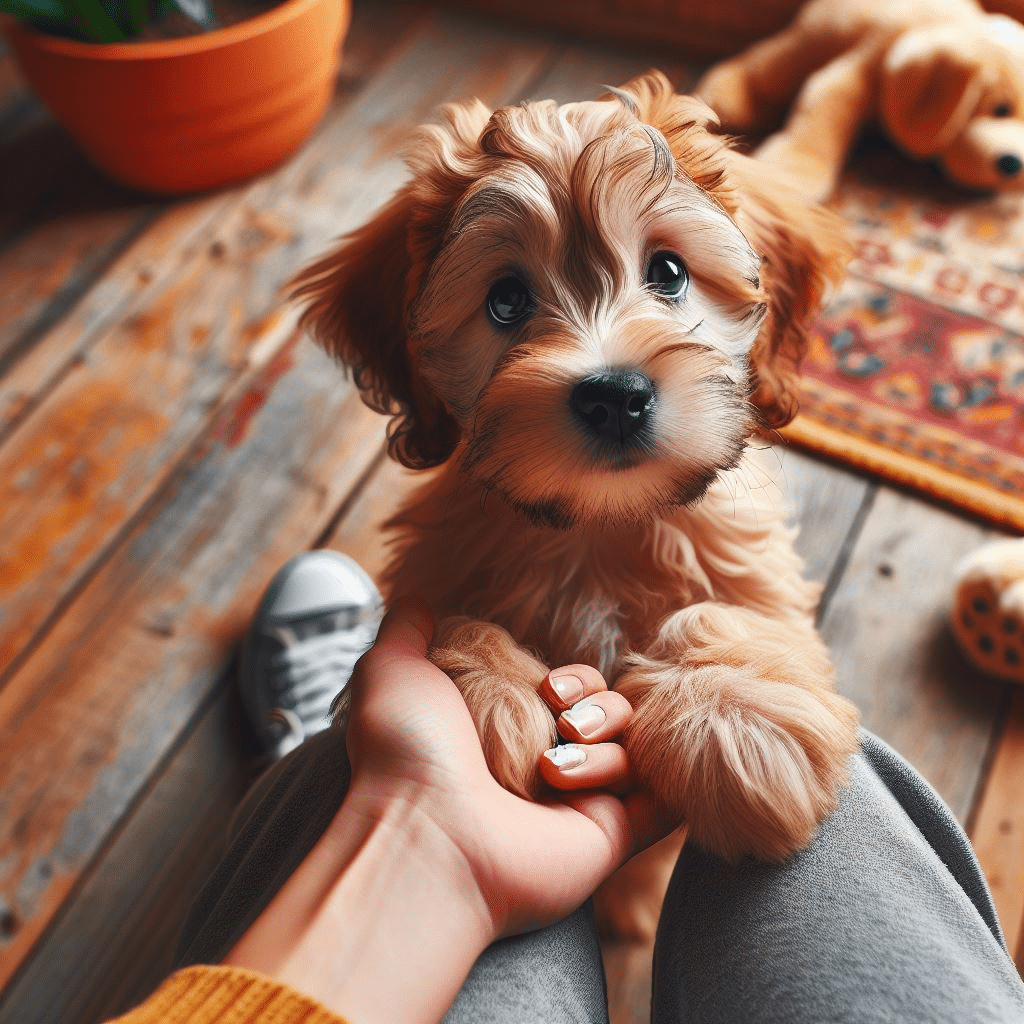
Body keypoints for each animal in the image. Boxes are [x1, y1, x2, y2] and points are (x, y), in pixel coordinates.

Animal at [292, 70, 860, 880]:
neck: (600, 524)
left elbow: (724, 615)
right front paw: (490, 700)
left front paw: (736, 715)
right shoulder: (438, 570)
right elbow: (458, 623)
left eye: (668, 273)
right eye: (505, 300)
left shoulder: (756, 579)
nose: (614, 396)